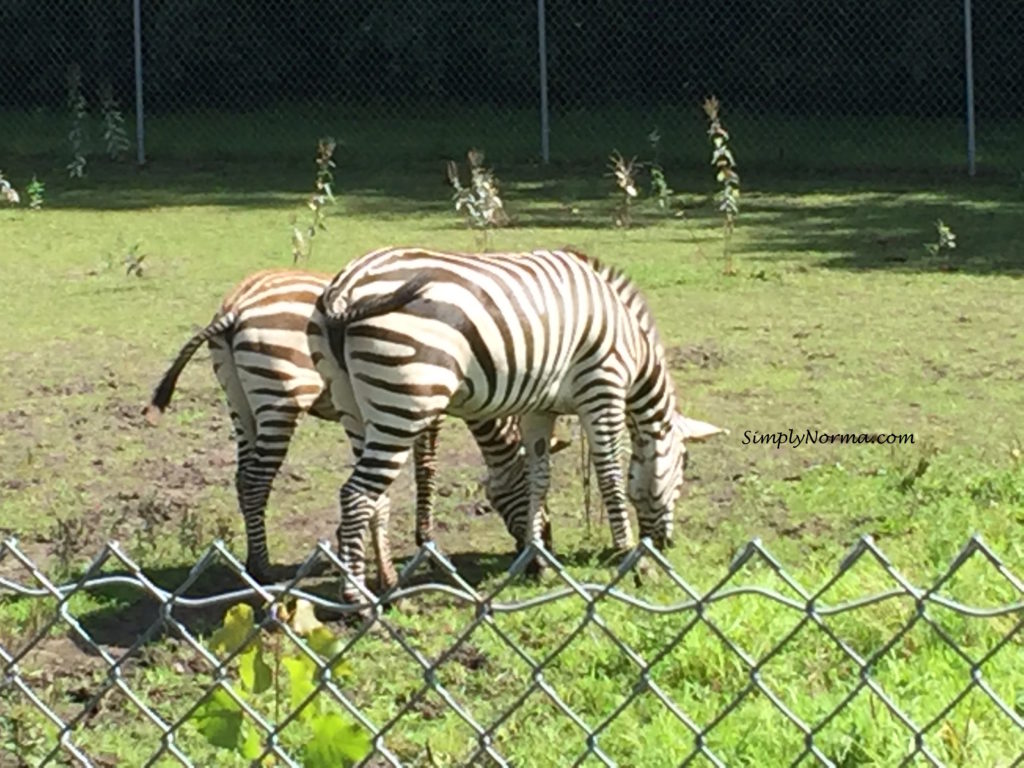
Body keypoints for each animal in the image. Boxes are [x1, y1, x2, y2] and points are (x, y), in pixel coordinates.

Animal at [144, 268, 565, 585]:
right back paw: (263, 570)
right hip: (280, 401)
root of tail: (236, 305)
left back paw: (251, 563)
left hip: (240, 403)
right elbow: (426, 471)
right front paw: (425, 543)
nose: (546, 550)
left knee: (241, 477)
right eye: (534, 495)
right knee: (256, 480)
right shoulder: (427, 410)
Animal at [311, 246, 729, 602]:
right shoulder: (603, 388)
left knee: (372, 497)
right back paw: (356, 601)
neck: (632, 343)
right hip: (407, 402)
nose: (666, 544)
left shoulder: (539, 409)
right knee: (355, 494)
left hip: (354, 406)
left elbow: (538, 478)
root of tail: (347, 283)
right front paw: (631, 560)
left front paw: (537, 558)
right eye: (685, 465)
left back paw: (382, 586)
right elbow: (610, 476)